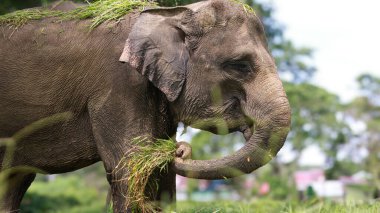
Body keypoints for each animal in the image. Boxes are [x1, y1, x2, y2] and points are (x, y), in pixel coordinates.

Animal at [0, 0, 290, 211]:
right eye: (240, 65)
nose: (180, 150)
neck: (173, 14)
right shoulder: (118, 84)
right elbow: (132, 167)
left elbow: (160, 174)